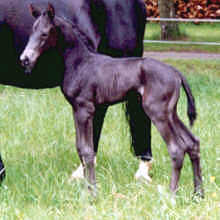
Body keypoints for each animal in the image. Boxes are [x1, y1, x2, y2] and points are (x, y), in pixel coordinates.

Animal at [20, 3, 203, 196]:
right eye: (32, 31)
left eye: (45, 33)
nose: (25, 59)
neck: (80, 63)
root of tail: (176, 72)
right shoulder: (76, 109)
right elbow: (80, 148)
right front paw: (88, 187)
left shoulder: (85, 109)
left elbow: (87, 151)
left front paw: (92, 192)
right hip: (171, 113)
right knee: (192, 143)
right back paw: (198, 194)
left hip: (157, 112)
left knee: (176, 149)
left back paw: (172, 195)